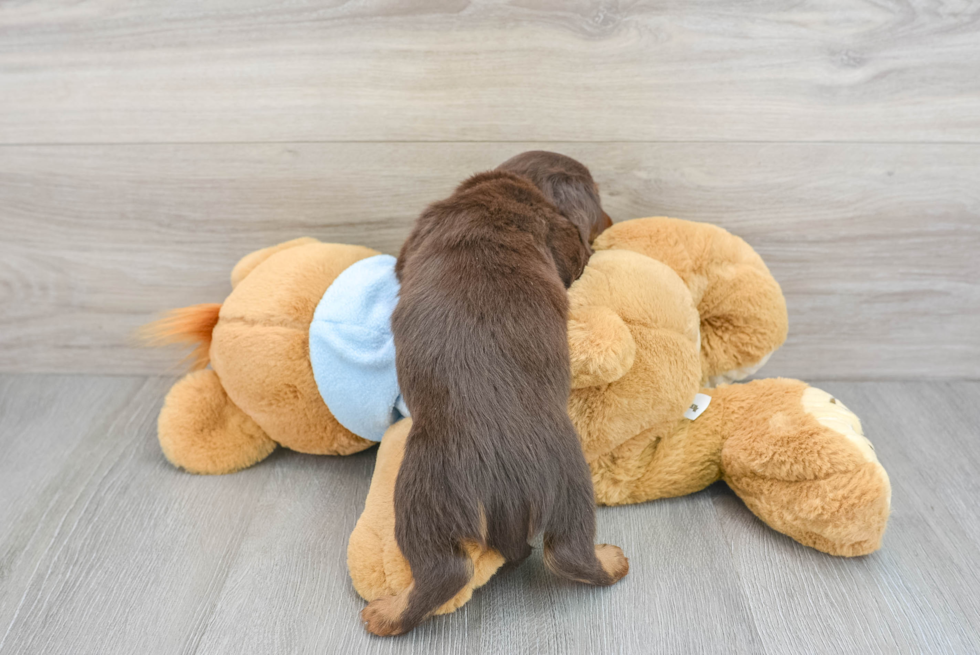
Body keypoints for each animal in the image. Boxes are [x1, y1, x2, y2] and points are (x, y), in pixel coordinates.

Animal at [362, 152, 628, 636]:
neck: (504, 192)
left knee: (447, 572)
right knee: (564, 552)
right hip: (570, 485)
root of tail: (508, 483)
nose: (614, 220)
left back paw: (385, 615)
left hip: (422, 496)